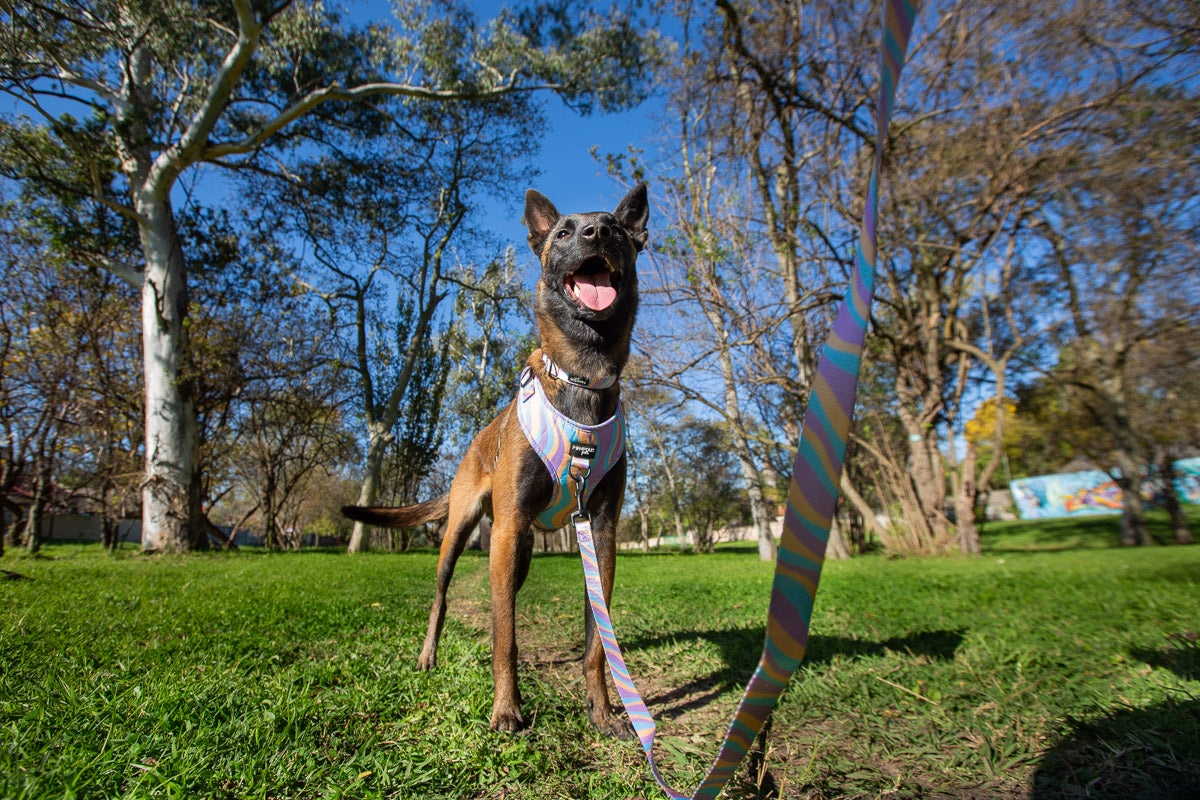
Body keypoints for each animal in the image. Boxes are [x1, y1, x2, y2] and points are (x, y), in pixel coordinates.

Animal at [345, 181, 648, 738]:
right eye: (564, 232)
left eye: (616, 229)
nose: (596, 232)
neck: (581, 376)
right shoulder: (507, 530)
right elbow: (503, 635)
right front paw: (506, 709)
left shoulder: (601, 532)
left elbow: (597, 643)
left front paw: (601, 711)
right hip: (468, 534)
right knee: (442, 598)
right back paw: (428, 656)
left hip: (519, 548)